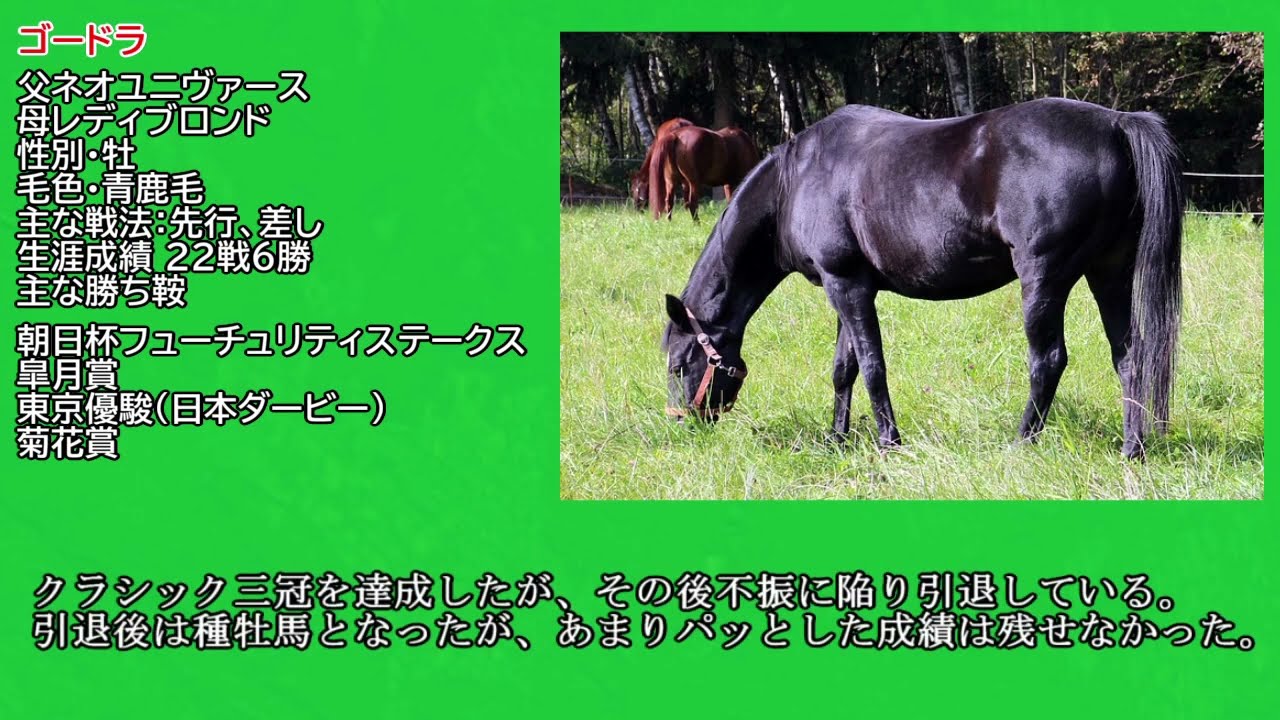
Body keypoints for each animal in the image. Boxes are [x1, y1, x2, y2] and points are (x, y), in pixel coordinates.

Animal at [661, 97, 1182, 460]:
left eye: (679, 365)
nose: (683, 423)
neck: (795, 181)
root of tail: (1116, 123)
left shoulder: (847, 287)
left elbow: (872, 366)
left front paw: (888, 441)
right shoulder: (845, 286)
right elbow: (844, 368)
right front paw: (836, 438)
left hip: (1043, 281)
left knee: (1048, 361)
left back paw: (1021, 443)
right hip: (1109, 274)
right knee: (1129, 355)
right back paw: (1132, 449)